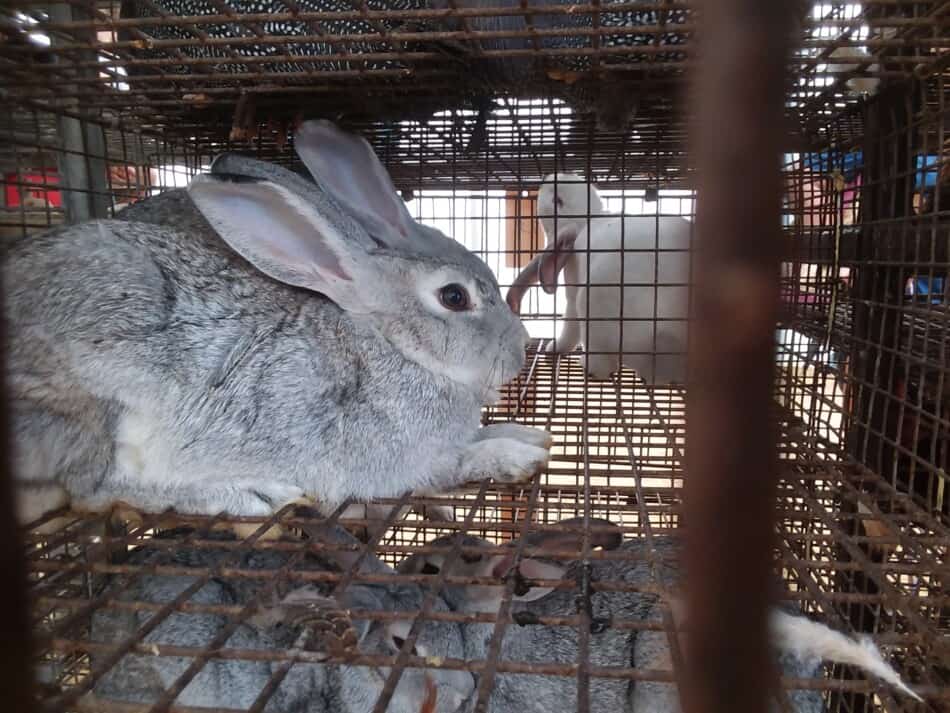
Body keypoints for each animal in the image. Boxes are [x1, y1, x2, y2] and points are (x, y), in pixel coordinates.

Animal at [3, 118, 552, 524]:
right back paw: (249, 495)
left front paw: (528, 435)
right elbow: (461, 461)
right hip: (100, 404)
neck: (393, 348)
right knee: (96, 489)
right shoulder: (405, 463)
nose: (521, 347)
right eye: (454, 297)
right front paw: (518, 457)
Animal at [506, 172, 692, 384]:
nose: (549, 177)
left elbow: (569, 327)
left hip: (590, 308)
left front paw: (554, 347)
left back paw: (587, 364)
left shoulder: (572, 290)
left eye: (557, 200)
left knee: (603, 365)